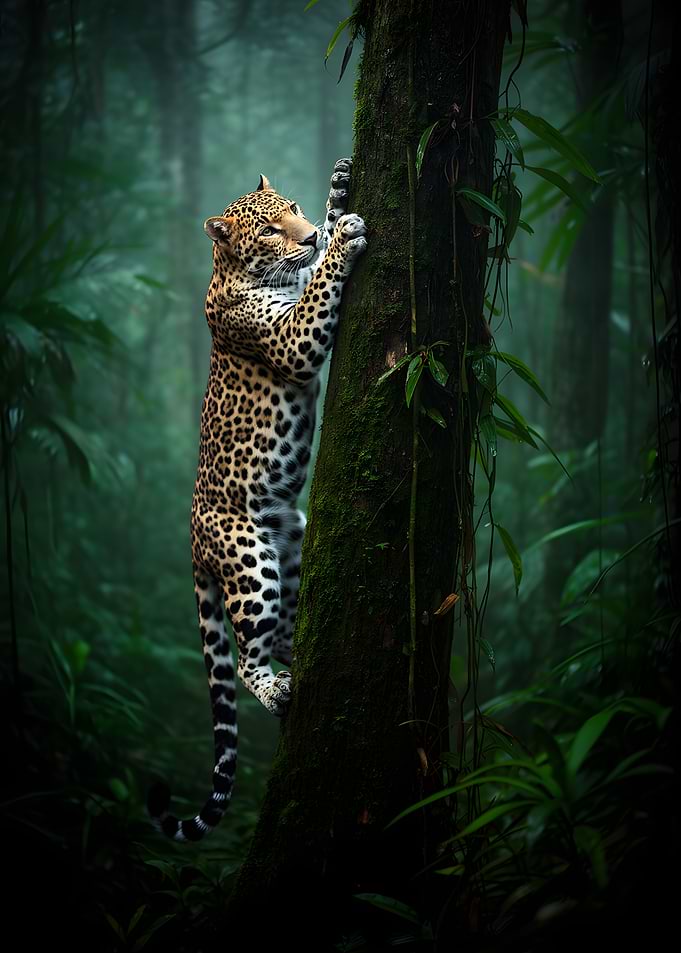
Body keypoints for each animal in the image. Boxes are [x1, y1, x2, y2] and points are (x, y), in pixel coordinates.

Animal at [149, 159, 366, 841]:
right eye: (268, 230)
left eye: (290, 209)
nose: (305, 236)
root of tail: (193, 540)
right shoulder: (291, 336)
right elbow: (318, 290)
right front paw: (341, 239)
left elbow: (315, 258)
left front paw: (337, 198)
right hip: (250, 563)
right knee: (245, 659)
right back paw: (276, 691)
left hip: (291, 554)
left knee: (284, 636)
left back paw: (298, 667)